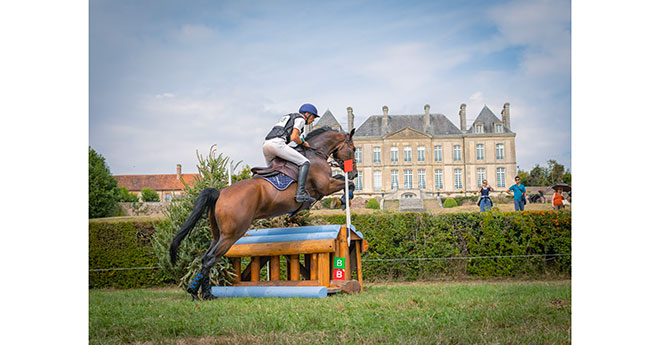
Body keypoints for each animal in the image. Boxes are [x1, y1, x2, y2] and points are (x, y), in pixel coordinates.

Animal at [170, 126, 356, 298]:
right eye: (354, 149)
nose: (354, 173)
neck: (315, 154)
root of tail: (220, 193)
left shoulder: (326, 185)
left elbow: (343, 180)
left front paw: (342, 198)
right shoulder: (325, 186)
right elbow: (345, 183)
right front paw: (342, 200)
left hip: (218, 234)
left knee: (206, 257)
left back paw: (201, 292)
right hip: (232, 234)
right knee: (210, 258)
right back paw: (200, 293)